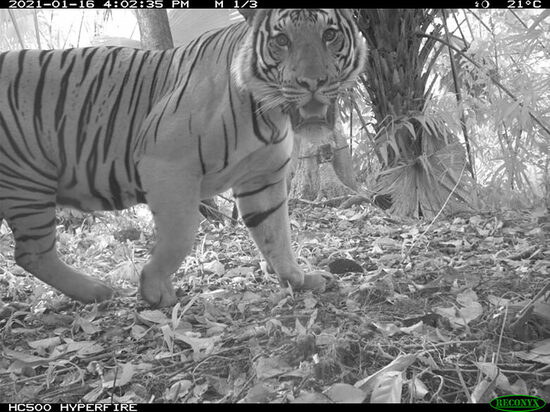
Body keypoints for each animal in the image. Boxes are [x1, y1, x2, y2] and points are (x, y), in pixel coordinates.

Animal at [1, 8, 370, 306]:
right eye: (282, 40)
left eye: (329, 35)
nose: (312, 83)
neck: (270, 113)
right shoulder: (166, 163)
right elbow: (181, 234)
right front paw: (153, 289)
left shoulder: (261, 177)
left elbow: (275, 233)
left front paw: (299, 279)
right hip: (26, 181)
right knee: (33, 254)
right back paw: (98, 290)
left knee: (32, 255)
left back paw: (96, 291)